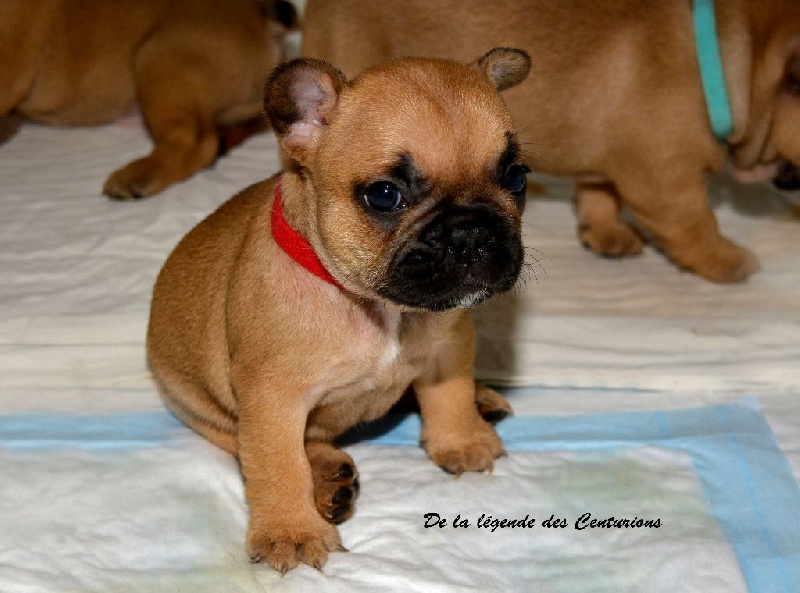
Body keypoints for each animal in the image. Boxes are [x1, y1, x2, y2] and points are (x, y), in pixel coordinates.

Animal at [146, 48, 530, 572]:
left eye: (516, 176)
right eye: (385, 194)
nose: (471, 232)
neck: (377, 306)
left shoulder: (449, 345)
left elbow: (447, 393)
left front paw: (461, 438)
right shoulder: (272, 397)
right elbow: (276, 464)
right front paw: (290, 531)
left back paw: (481, 400)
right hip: (197, 404)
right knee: (256, 444)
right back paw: (326, 475)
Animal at [301, 0, 800, 283]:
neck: (739, 56)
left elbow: (597, 189)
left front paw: (603, 231)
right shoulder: (665, 180)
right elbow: (696, 225)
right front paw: (728, 261)